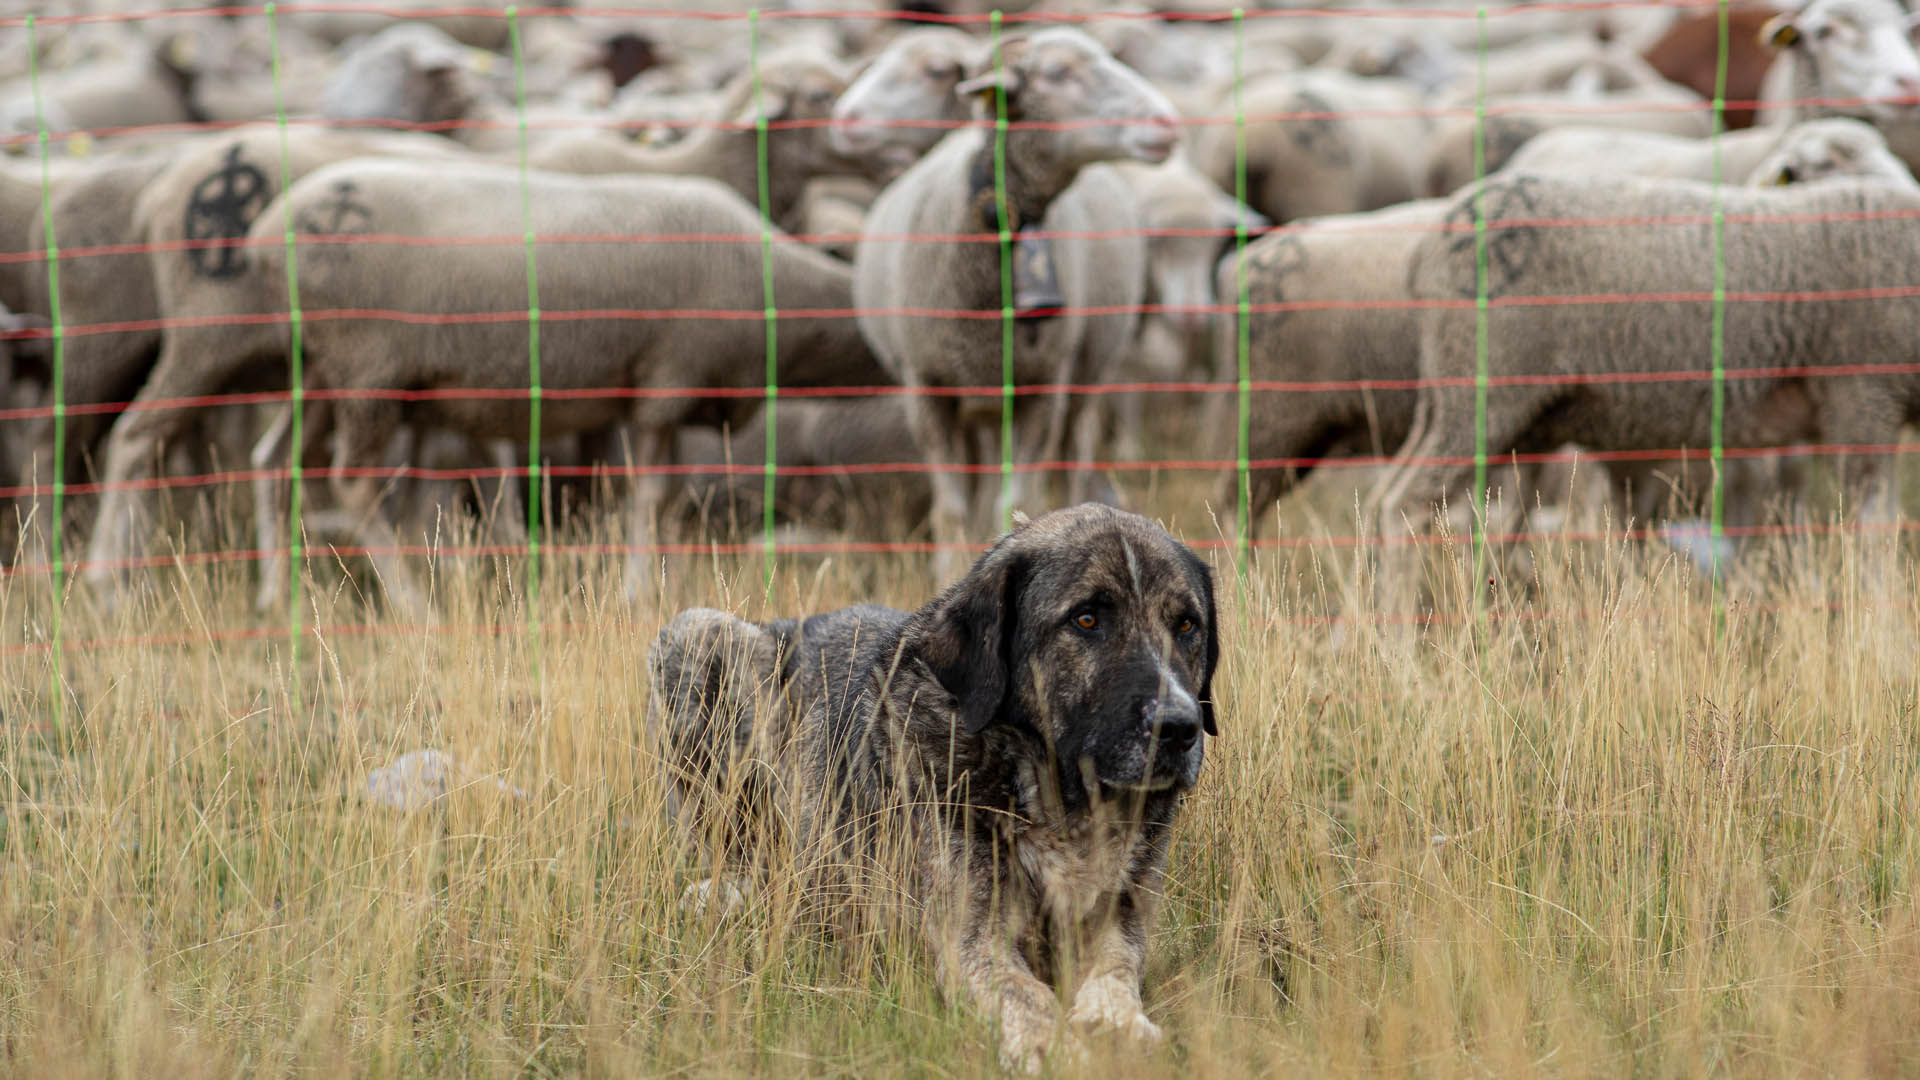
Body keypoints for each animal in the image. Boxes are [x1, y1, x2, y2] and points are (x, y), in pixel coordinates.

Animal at [645, 503, 1213, 1068]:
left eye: (1187, 624)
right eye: (1087, 618)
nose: (1179, 728)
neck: (1058, 802)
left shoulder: (1120, 918)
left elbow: (1117, 970)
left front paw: (1118, 1023)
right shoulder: (971, 939)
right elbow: (1028, 995)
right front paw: (1051, 1048)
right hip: (697, 637)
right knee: (739, 857)